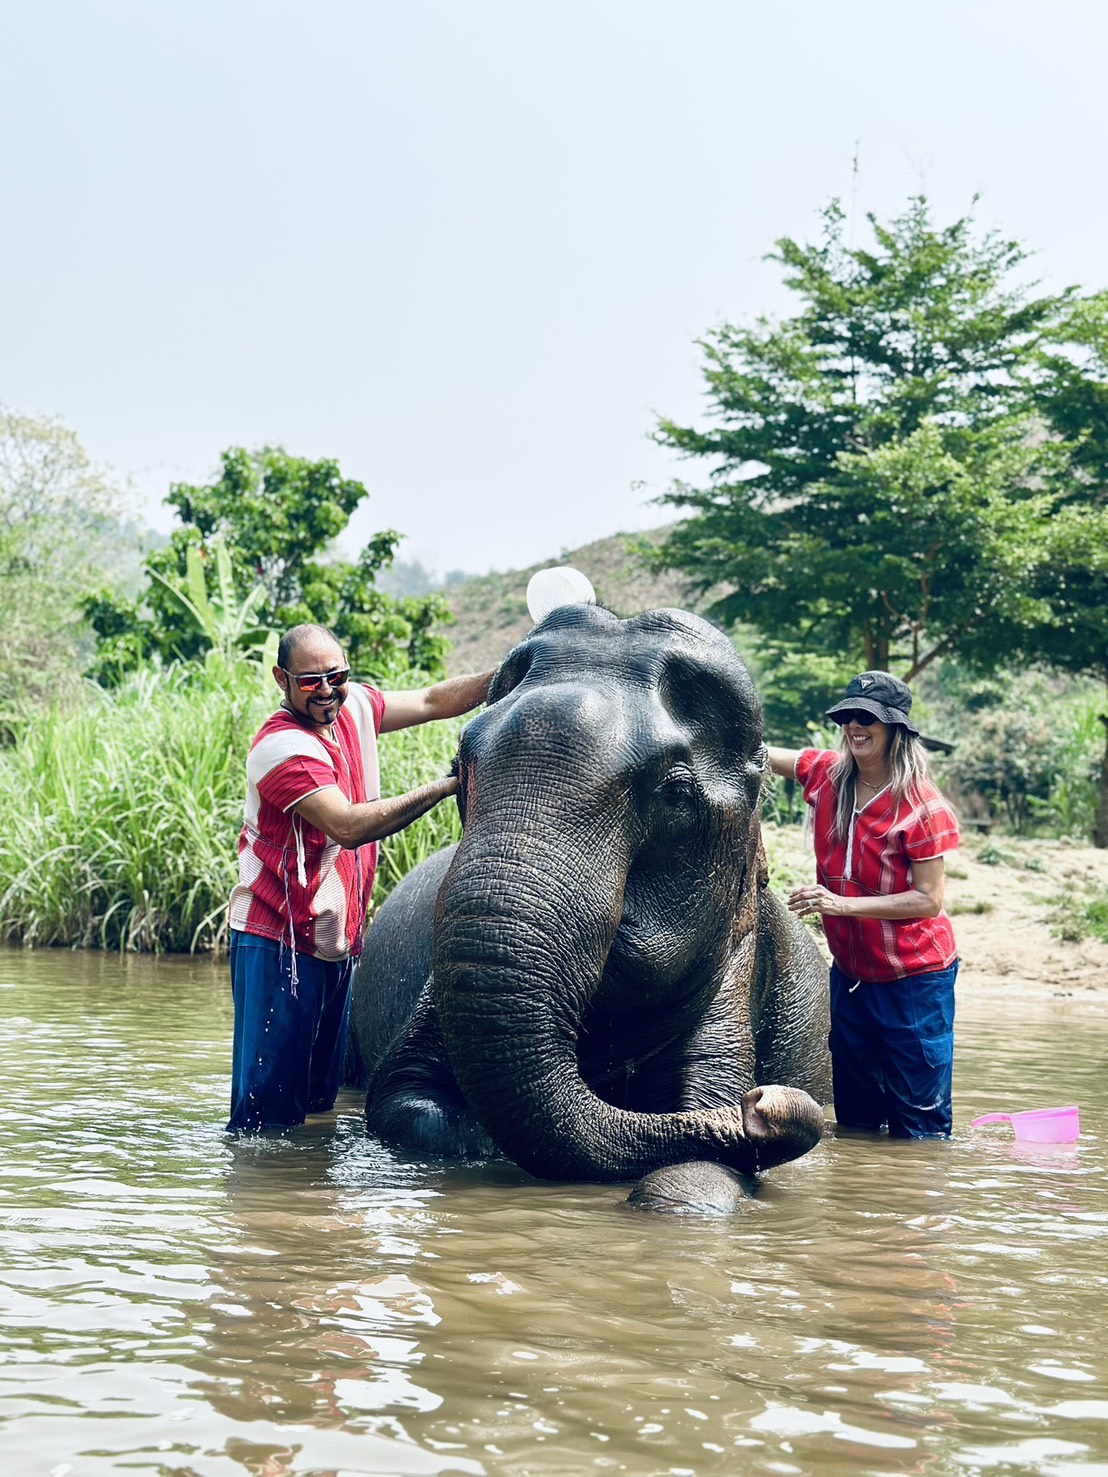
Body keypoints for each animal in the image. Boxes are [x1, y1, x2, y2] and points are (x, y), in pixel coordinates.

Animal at [347, 603, 831, 1213]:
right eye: (459, 769)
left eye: (676, 795)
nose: (762, 1102)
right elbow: (400, 1098)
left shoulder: (736, 969)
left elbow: (702, 1141)